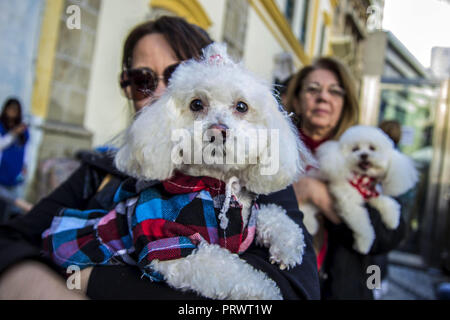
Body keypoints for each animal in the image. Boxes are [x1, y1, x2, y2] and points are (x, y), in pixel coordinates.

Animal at [114, 43, 312, 300]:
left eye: (241, 106)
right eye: (196, 104)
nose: (218, 131)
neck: (215, 184)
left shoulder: (250, 219)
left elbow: (274, 214)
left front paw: (287, 247)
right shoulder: (168, 244)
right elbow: (233, 271)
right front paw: (267, 293)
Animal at [300, 126, 416, 254]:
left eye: (372, 148)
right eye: (355, 149)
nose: (364, 155)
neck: (362, 180)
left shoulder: (371, 193)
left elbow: (387, 202)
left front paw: (392, 220)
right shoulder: (349, 204)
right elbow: (362, 225)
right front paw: (364, 244)